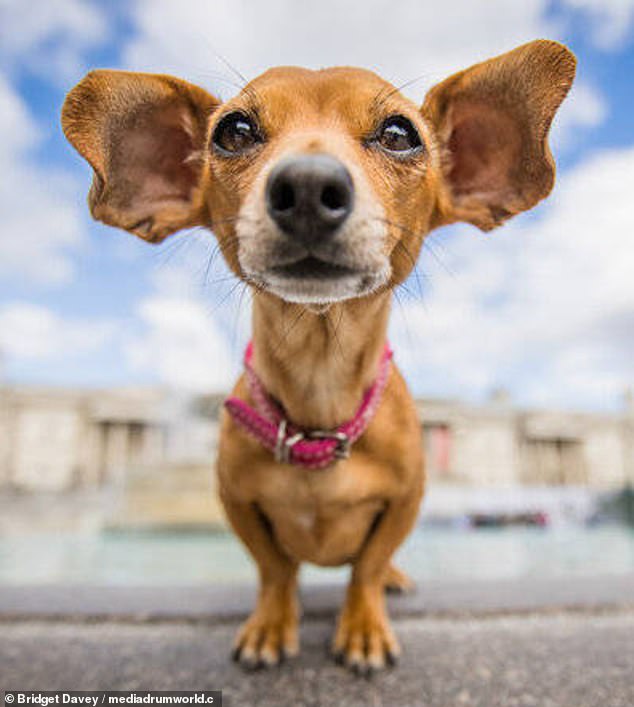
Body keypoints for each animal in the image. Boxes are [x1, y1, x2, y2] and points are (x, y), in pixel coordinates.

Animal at [63, 40, 572, 676]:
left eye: (399, 133)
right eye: (233, 131)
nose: (306, 186)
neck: (319, 392)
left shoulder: (406, 501)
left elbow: (368, 566)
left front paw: (364, 624)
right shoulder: (237, 502)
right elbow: (275, 568)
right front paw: (272, 621)